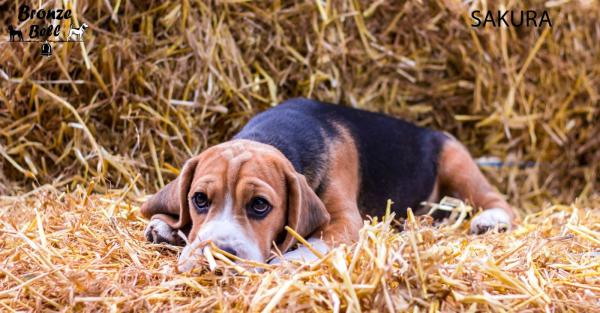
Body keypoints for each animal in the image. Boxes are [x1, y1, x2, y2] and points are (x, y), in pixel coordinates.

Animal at [142, 98, 516, 270]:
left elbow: (313, 243)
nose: (216, 254)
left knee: (496, 198)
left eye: (260, 205)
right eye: (199, 199)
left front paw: (283, 262)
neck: (274, 137)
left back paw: (490, 220)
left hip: (455, 160)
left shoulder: (345, 220)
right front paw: (167, 227)